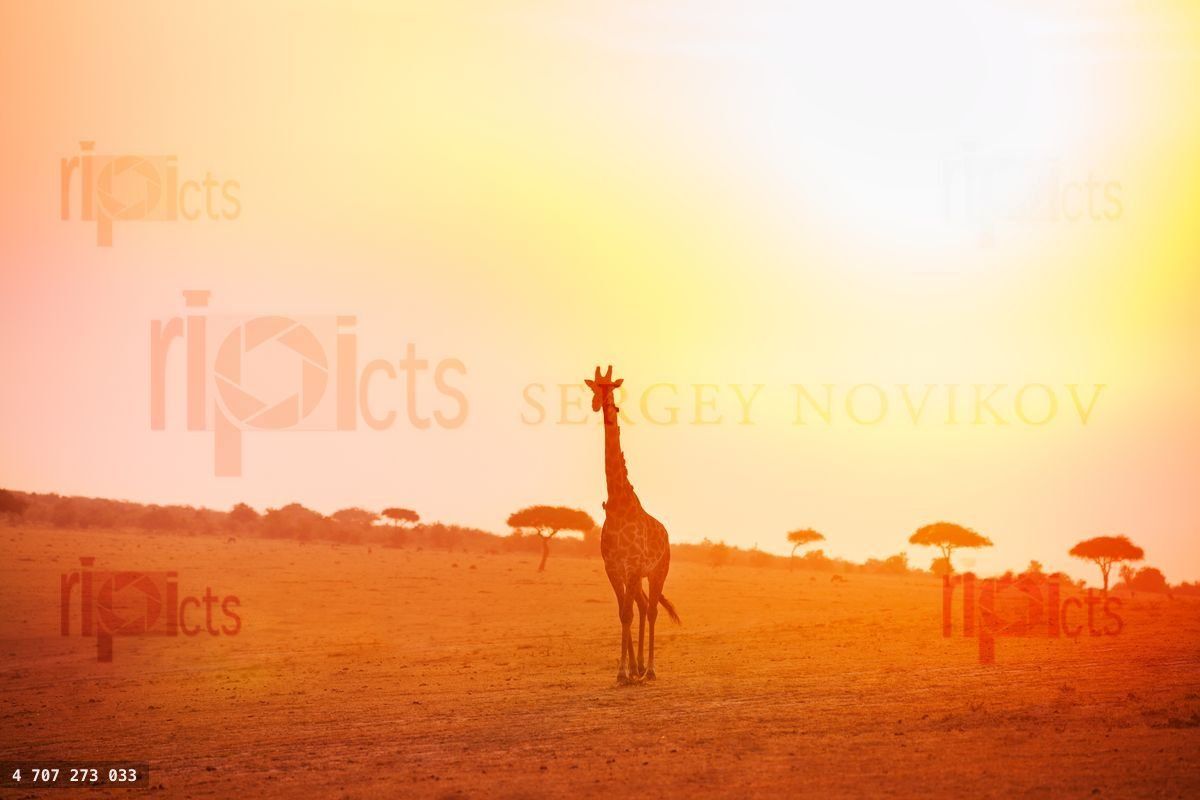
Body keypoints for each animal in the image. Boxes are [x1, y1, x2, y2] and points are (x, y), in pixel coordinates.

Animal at [585, 365, 680, 684]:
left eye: (611, 386)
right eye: (593, 387)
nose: (599, 404)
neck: (618, 503)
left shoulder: (634, 566)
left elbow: (629, 612)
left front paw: (627, 671)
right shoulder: (613, 567)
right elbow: (622, 613)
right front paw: (623, 672)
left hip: (658, 571)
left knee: (650, 610)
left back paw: (649, 669)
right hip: (638, 575)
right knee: (640, 606)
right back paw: (639, 667)